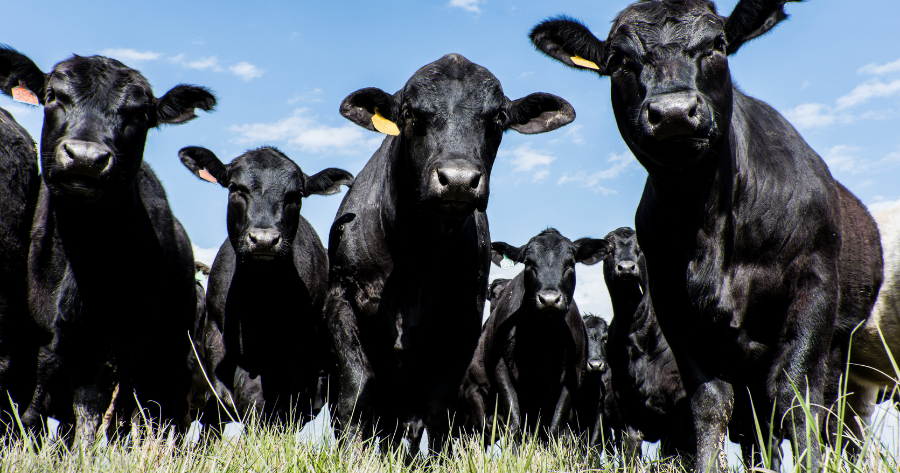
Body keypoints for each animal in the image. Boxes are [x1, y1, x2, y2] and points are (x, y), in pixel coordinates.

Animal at [0, 47, 216, 449]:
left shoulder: (118, 340)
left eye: (139, 114)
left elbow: (91, 409)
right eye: (53, 96)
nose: (85, 157)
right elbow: (38, 404)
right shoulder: (43, 336)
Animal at [179, 145, 352, 429]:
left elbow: (270, 408)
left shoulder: (293, 355)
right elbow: (227, 400)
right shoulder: (216, 339)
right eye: (235, 188)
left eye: (295, 195)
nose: (263, 240)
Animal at [325, 53, 576, 456]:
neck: (419, 254)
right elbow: (356, 391)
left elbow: (436, 408)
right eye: (409, 113)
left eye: (498, 117)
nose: (458, 179)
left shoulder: (462, 322)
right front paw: (351, 455)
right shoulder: (342, 298)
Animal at [460, 229, 608, 443]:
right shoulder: (501, 369)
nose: (549, 299)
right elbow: (513, 421)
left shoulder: (572, 377)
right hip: (476, 393)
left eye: (570, 263)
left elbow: (555, 427)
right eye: (529, 263)